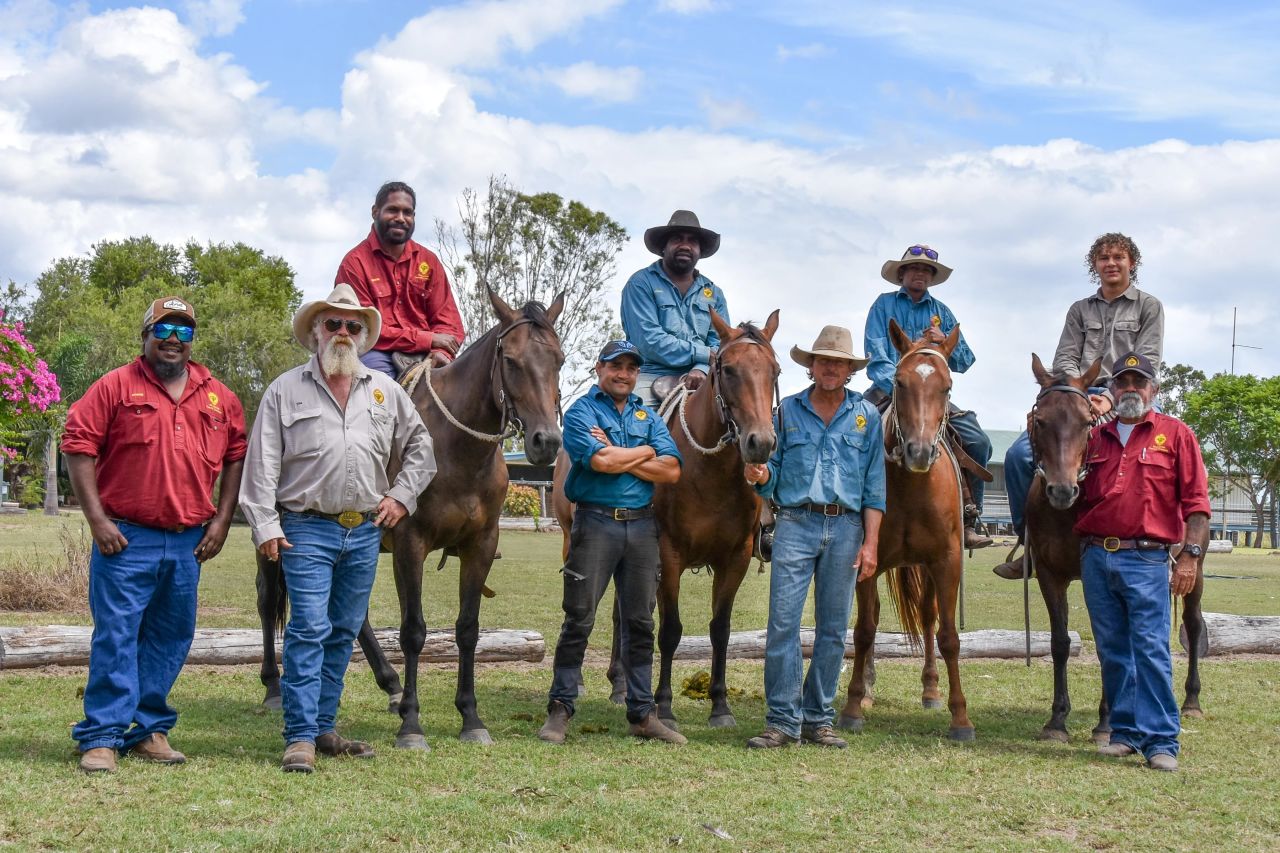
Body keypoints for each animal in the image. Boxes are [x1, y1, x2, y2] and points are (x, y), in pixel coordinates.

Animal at [839, 317, 967, 737]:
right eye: (899, 382)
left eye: (947, 386)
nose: (919, 452)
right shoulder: (866, 562)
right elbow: (864, 631)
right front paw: (852, 706)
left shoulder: (947, 561)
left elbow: (948, 635)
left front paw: (960, 717)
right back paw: (866, 690)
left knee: (928, 617)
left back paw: (931, 689)